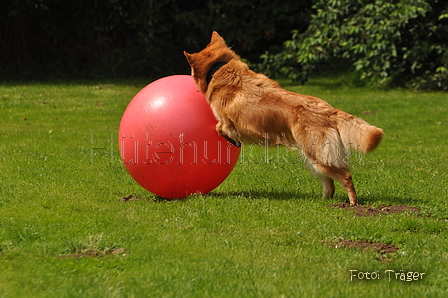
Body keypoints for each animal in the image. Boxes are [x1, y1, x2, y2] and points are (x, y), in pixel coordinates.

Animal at [184, 32, 384, 205]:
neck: (221, 69)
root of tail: (329, 110)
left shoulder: (226, 121)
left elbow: (219, 128)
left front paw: (233, 141)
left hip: (318, 156)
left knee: (345, 177)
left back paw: (352, 203)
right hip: (313, 160)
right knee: (330, 184)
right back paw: (322, 200)